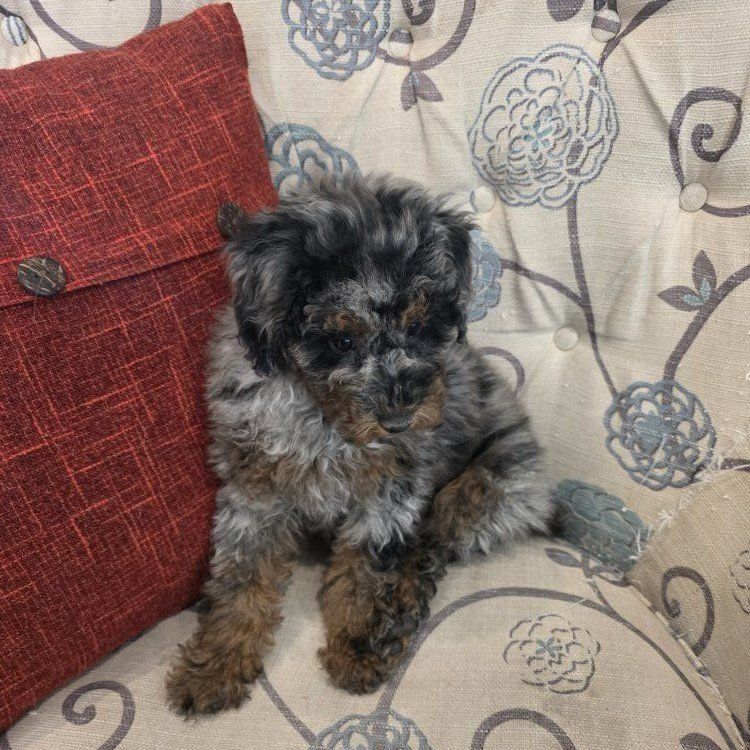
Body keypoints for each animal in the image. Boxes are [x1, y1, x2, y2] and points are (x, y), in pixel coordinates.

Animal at [166, 174, 554, 716]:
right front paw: (215, 664)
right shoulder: (253, 492)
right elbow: (240, 576)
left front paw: (360, 648)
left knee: (431, 543)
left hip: (491, 488)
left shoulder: (390, 494)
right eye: (342, 341)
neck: (327, 424)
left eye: (419, 326)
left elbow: (370, 572)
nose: (398, 418)